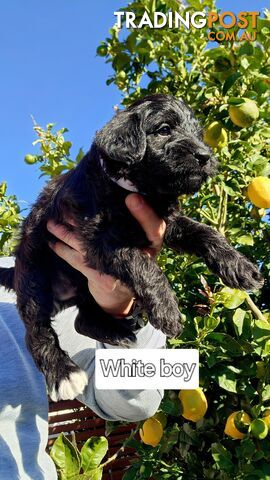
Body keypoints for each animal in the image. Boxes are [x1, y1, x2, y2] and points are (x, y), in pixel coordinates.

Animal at [0, 94, 262, 402]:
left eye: (198, 134)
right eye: (164, 130)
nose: (205, 156)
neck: (135, 189)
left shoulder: (168, 222)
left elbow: (204, 232)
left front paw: (240, 266)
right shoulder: (99, 239)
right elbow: (143, 264)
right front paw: (168, 309)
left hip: (86, 291)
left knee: (83, 320)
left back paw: (118, 332)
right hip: (34, 278)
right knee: (36, 330)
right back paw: (64, 373)